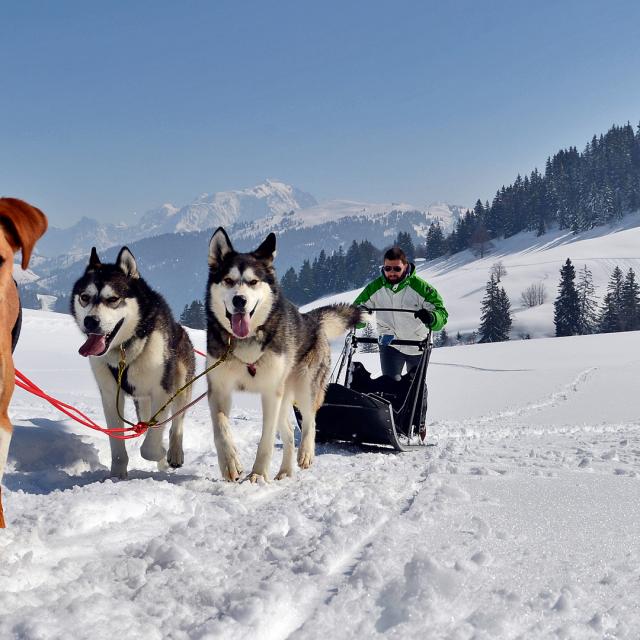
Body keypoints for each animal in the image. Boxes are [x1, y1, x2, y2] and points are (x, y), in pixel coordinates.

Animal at [70, 248, 195, 478]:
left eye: (113, 299)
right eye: (85, 297)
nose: (90, 321)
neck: (123, 353)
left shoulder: (162, 390)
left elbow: (150, 446)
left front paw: (159, 451)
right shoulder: (110, 395)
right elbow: (117, 441)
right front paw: (117, 474)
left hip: (181, 384)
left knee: (176, 423)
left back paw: (173, 453)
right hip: (143, 402)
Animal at [206, 228, 362, 482]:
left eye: (253, 282)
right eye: (228, 280)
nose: (240, 300)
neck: (247, 341)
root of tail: (311, 319)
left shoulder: (271, 392)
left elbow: (267, 440)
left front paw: (258, 474)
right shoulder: (219, 388)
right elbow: (221, 428)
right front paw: (230, 462)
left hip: (304, 386)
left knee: (310, 421)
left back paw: (306, 453)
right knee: (288, 432)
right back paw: (285, 470)